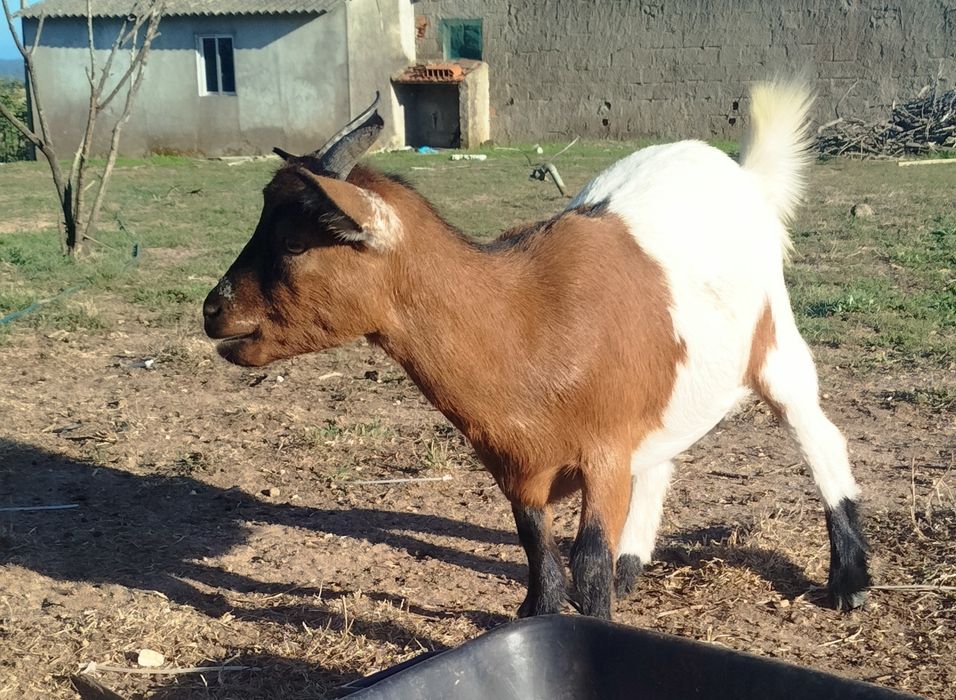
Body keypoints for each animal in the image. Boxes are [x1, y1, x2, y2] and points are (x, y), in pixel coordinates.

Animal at [203, 83, 870, 619]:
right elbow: (538, 556)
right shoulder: (519, 467)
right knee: (661, 462)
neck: (526, 322)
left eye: (294, 243)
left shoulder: (603, 452)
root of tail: (740, 173)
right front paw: (545, 615)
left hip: (776, 339)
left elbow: (589, 563)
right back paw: (635, 568)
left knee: (819, 434)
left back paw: (851, 579)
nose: (213, 310)